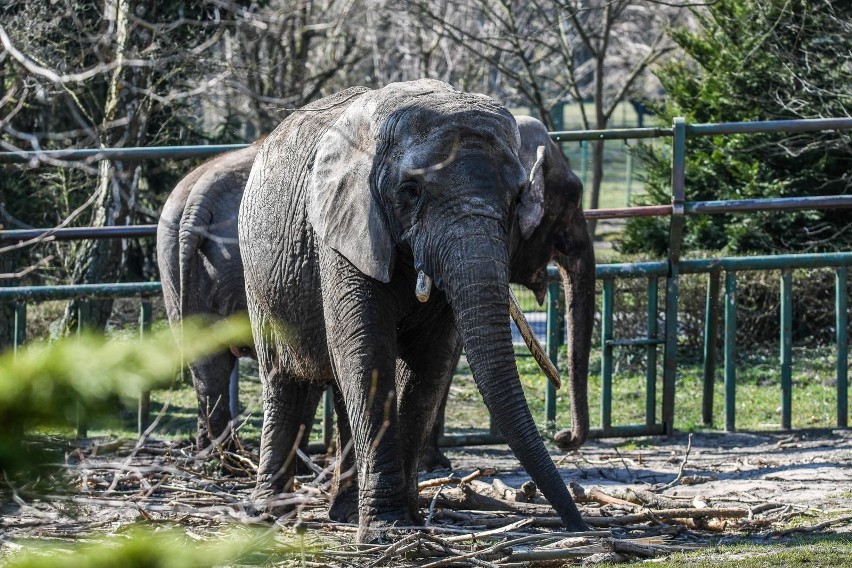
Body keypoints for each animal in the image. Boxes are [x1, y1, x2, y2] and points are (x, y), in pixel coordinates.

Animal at [236, 77, 588, 540]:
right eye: (411, 192)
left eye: (517, 200)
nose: (579, 525)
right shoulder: (346, 229)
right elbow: (368, 354)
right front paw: (388, 530)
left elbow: (429, 365)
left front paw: (411, 521)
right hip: (258, 275)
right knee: (284, 378)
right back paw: (266, 516)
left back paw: (342, 513)